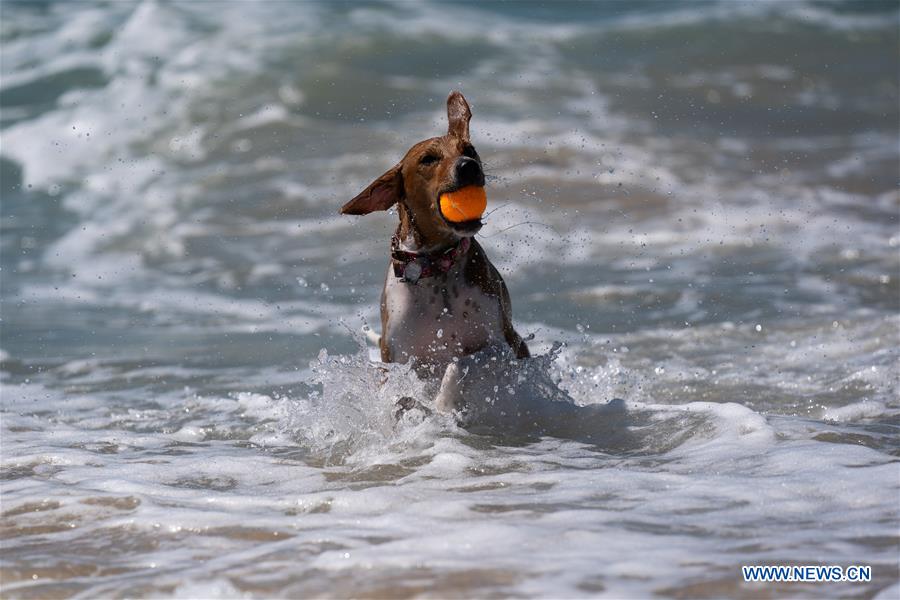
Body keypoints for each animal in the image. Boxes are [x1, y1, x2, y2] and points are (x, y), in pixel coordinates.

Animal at [342, 90, 528, 412]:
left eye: (469, 149)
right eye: (428, 159)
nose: (468, 166)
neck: (436, 265)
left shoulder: (503, 344)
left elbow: (461, 363)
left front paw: (443, 400)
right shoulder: (397, 360)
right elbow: (401, 393)